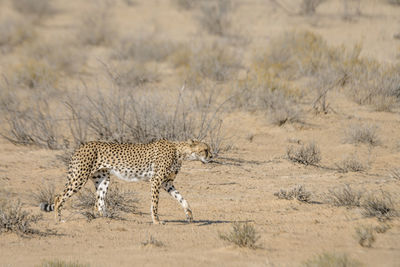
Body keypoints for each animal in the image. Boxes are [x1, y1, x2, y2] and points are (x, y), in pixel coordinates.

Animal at [41, 139, 212, 225]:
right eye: (205, 150)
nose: (212, 156)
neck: (180, 152)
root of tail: (82, 145)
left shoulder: (167, 183)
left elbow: (182, 198)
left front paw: (189, 215)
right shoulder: (156, 180)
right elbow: (154, 204)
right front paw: (156, 221)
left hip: (103, 179)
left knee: (98, 203)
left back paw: (108, 218)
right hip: (79, 177)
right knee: (58, 197)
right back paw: (59, 219)